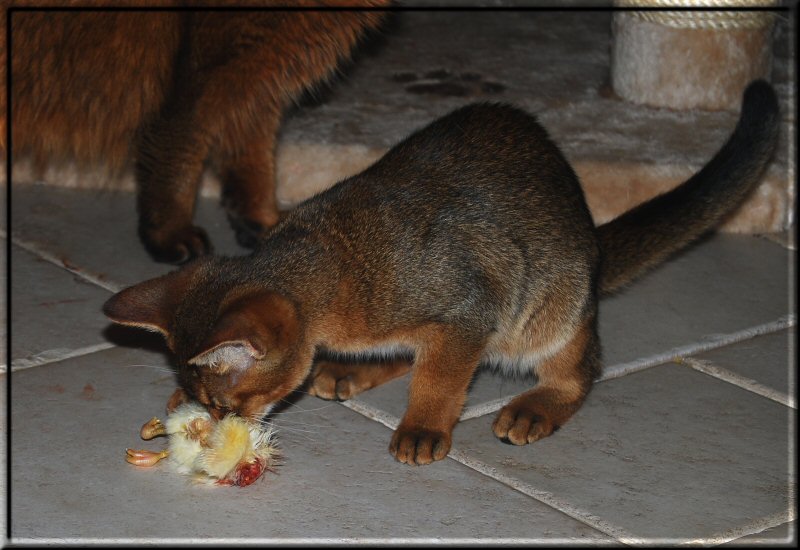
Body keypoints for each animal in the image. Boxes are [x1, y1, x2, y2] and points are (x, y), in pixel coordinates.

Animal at [6, 1, 388, 264]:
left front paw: (263, 219)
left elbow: (251, 149)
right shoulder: (197, 75)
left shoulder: (253, 75)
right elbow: (177, 154)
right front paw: (169, 230)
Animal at [103, 81, 780, 466]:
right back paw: (350, 370)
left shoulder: (468, 310)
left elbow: (441, 379)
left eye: (228, 401)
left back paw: (537, 406)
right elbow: (422, 360)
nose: (214, 420)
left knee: (583, 367)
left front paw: (424, 427)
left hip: (551, 311)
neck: (330, 260)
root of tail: (591, 237)